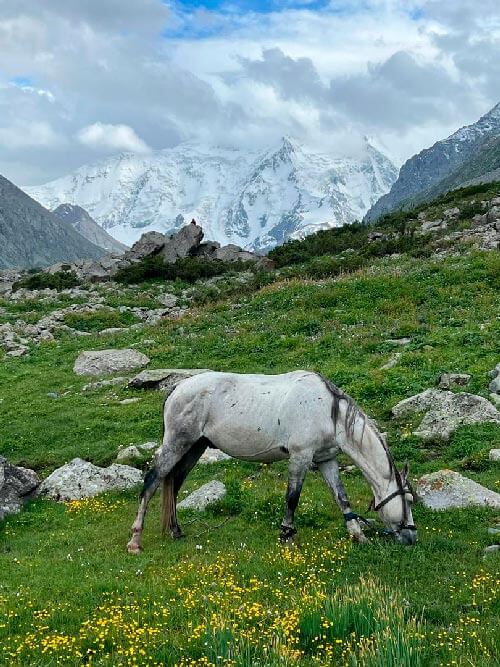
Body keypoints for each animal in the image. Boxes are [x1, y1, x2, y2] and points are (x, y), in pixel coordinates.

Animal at [127, 370, 416, 552]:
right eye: (410, 501)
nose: (412, 537)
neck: (328, 411)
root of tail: (177, 388)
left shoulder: (326, 459)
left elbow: (341, 497)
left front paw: (358, 535)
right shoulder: (300, 456)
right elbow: (292, 498)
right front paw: (286, 535)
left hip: (194, 448)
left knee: (174, 485)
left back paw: (176, 531)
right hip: (177, 444)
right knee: (152, 482)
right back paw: (135, 541)